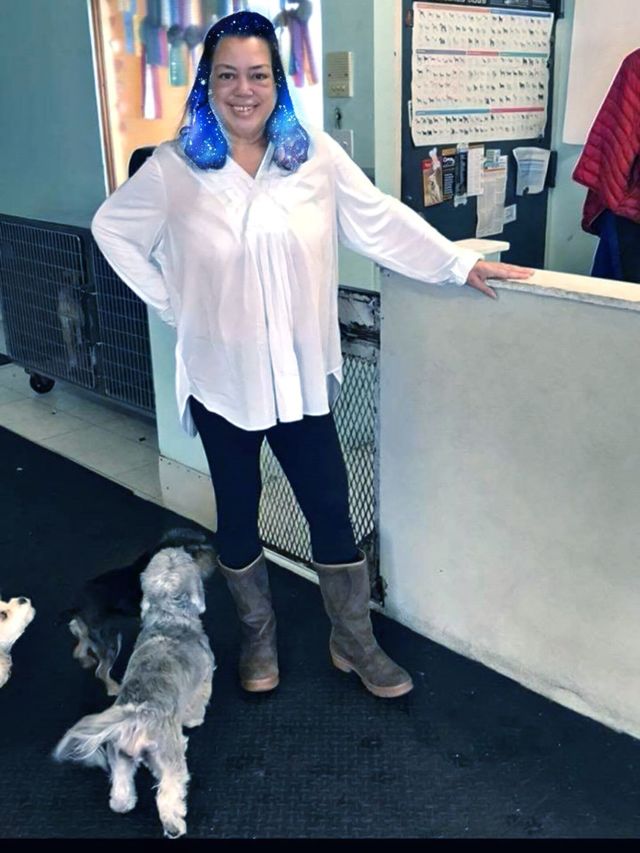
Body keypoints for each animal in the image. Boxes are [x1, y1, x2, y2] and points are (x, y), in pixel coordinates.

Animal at [54, 545, 216, 838]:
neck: (169, 616)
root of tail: (136, 715)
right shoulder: (204, 678)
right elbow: (198, 703)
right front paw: (195, 720)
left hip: (120, 757)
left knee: (120, 788)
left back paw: (124, 804)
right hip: (169, 758)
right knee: (168, 793)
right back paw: (175, 826)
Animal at [63, 528, 216, 695]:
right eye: (195, 552)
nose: (214, 556)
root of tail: (77, 606)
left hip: (92, 631)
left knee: (80, 638)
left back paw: (84, 658)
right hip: (110, 638)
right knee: (101, 670)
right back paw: (114, 688)